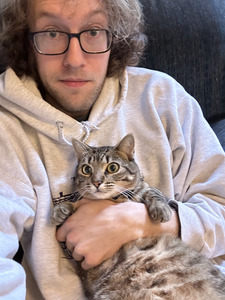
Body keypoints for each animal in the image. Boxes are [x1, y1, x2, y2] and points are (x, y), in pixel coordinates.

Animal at [51, 135, 225, 298]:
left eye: (112, 167)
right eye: (86, 169)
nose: (96, 182)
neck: (113, 198)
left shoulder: (145, 190)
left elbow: (153, 191)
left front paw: (161, 209)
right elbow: (73, 203)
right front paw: (60, 210)